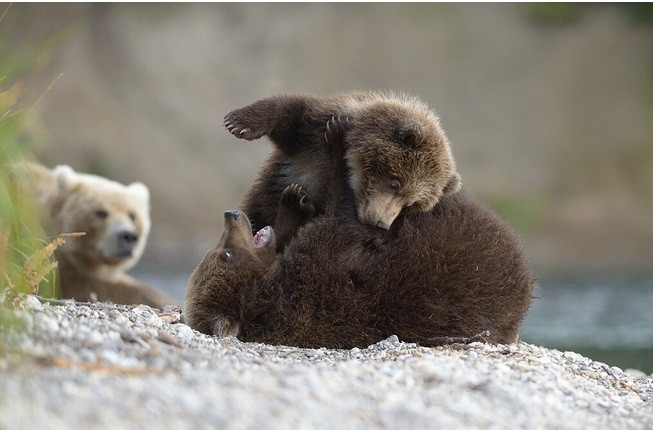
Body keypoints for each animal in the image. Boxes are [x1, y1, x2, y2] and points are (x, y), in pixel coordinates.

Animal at [186, 116, 532, 348]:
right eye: (224, 253)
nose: (231, 215)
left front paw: (294, 201)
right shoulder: (321, 277)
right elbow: (344, 216)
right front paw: (336, 145)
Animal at [222, 90, 460, 249]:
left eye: (409, 205)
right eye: (395, 183)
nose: (382, 223)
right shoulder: (312, 136)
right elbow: (292, 112)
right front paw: (238, 122)